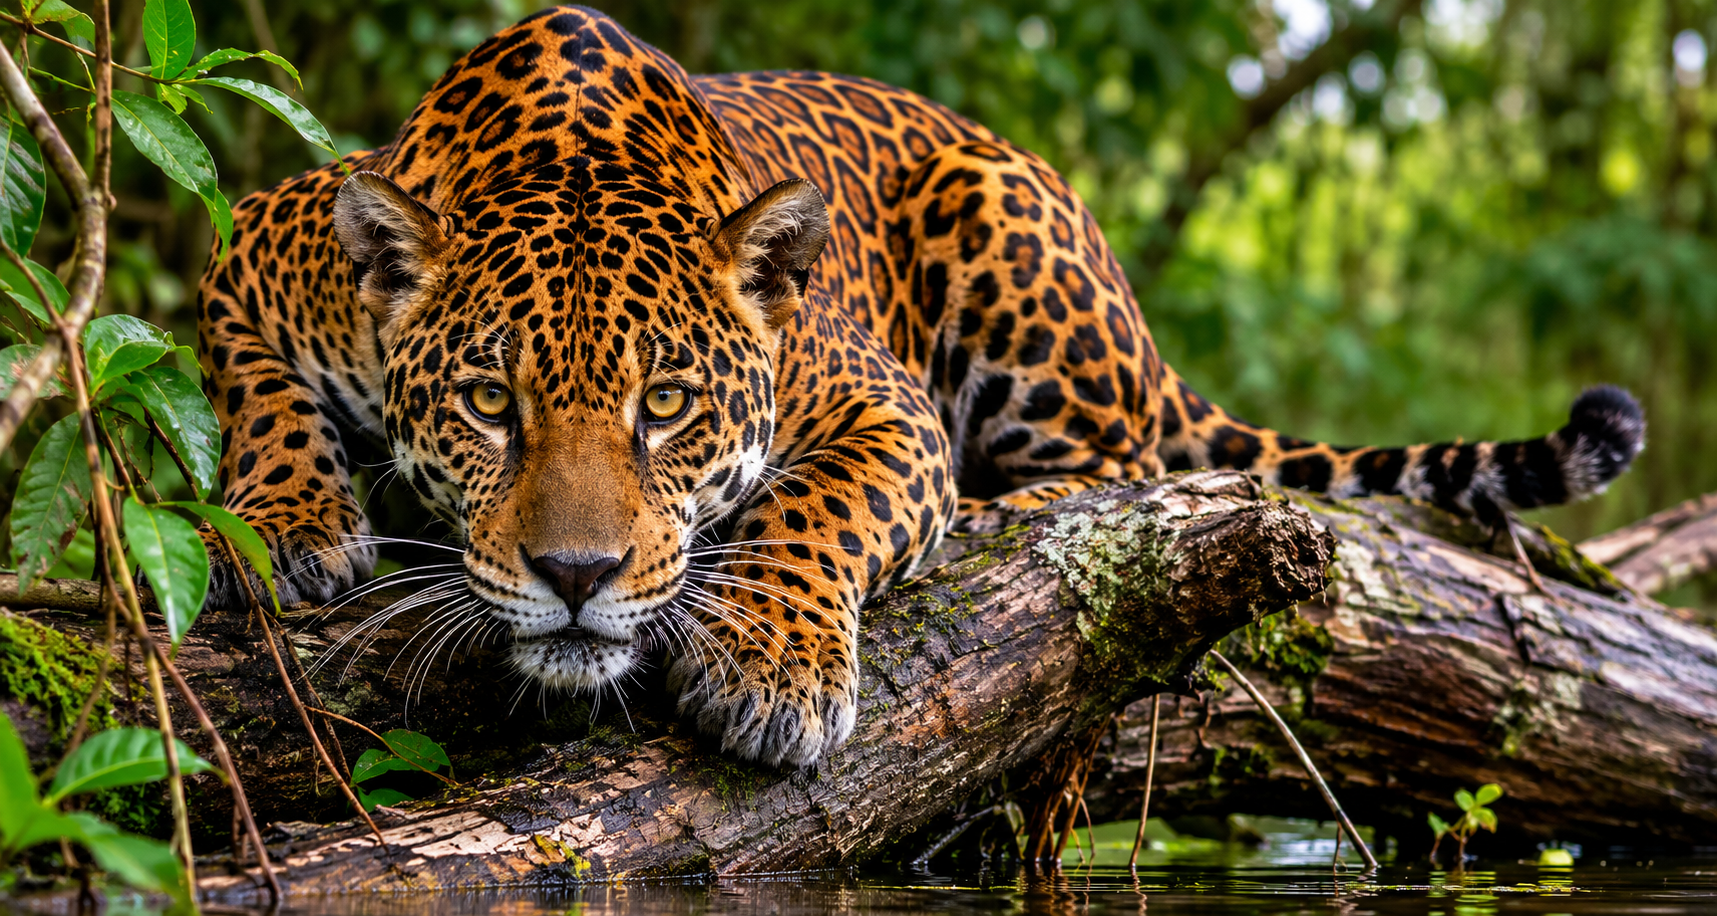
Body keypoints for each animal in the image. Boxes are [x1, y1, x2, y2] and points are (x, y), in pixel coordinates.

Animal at [196, 5, 1646, 767]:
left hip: (1002, 228)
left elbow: (814, 513)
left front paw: (769, 665)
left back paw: (1018, 518)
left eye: (666, 407)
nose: (574, 576)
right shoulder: (258, 240)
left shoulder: (877, 405)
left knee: (1128, 467)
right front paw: (285, 526)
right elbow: (258, 401)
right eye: (490, 405)